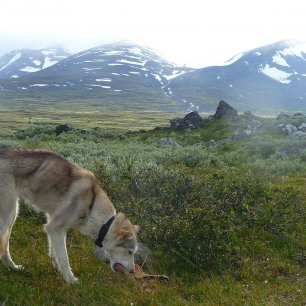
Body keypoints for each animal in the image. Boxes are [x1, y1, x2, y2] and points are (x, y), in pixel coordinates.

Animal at [0, 147, 140, 284]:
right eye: (130, 252)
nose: (132, 271)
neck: (92, 206)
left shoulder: (53, 227)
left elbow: (54, 253)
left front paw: (58, 269)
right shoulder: (55, 228)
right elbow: (64, 259)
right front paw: (70, 279)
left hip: (13, 215)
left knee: (5, 248)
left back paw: (13, 267)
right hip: (7, 216)